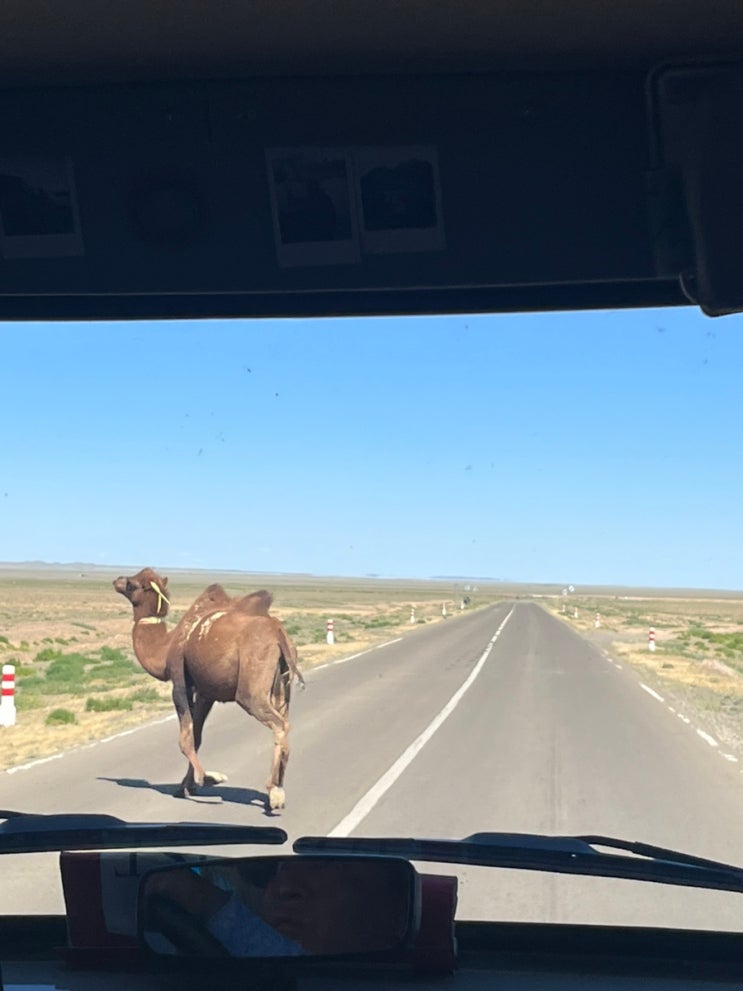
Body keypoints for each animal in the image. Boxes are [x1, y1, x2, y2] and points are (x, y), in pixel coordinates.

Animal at [113, 567, 303, 811]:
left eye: (132, 585)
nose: (117, 580)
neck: (165, 647)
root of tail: (279, 634)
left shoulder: (179, 680)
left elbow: (185, 739)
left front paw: (208, 778)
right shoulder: (205, 693)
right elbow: (196, 737)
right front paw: (185, 786)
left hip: (251, 689)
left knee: (279, 724)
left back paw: (273, 791)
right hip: (283, 684)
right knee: (285, 720)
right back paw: (278, 789)